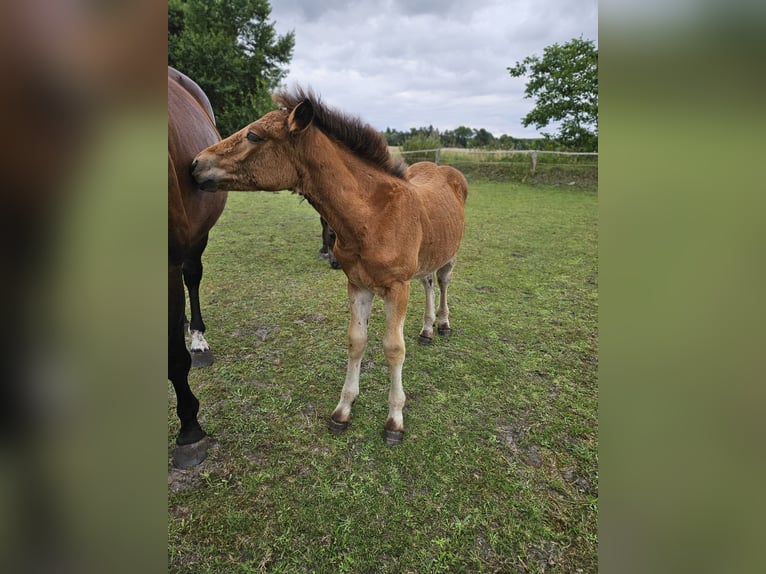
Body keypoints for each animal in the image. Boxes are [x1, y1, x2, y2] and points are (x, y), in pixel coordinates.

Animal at [192, 86, 468, 446]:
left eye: (253, 135)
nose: (196, 164)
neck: (370, 217)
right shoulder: (358, 284)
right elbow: (357, 341)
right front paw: (343, 410)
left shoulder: (397, 287)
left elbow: (393, 348)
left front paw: (394, 420)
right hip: (424, 260)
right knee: (429, 283)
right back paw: (426, 330)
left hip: (449, 255)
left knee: (443, 281)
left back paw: (443, 324)